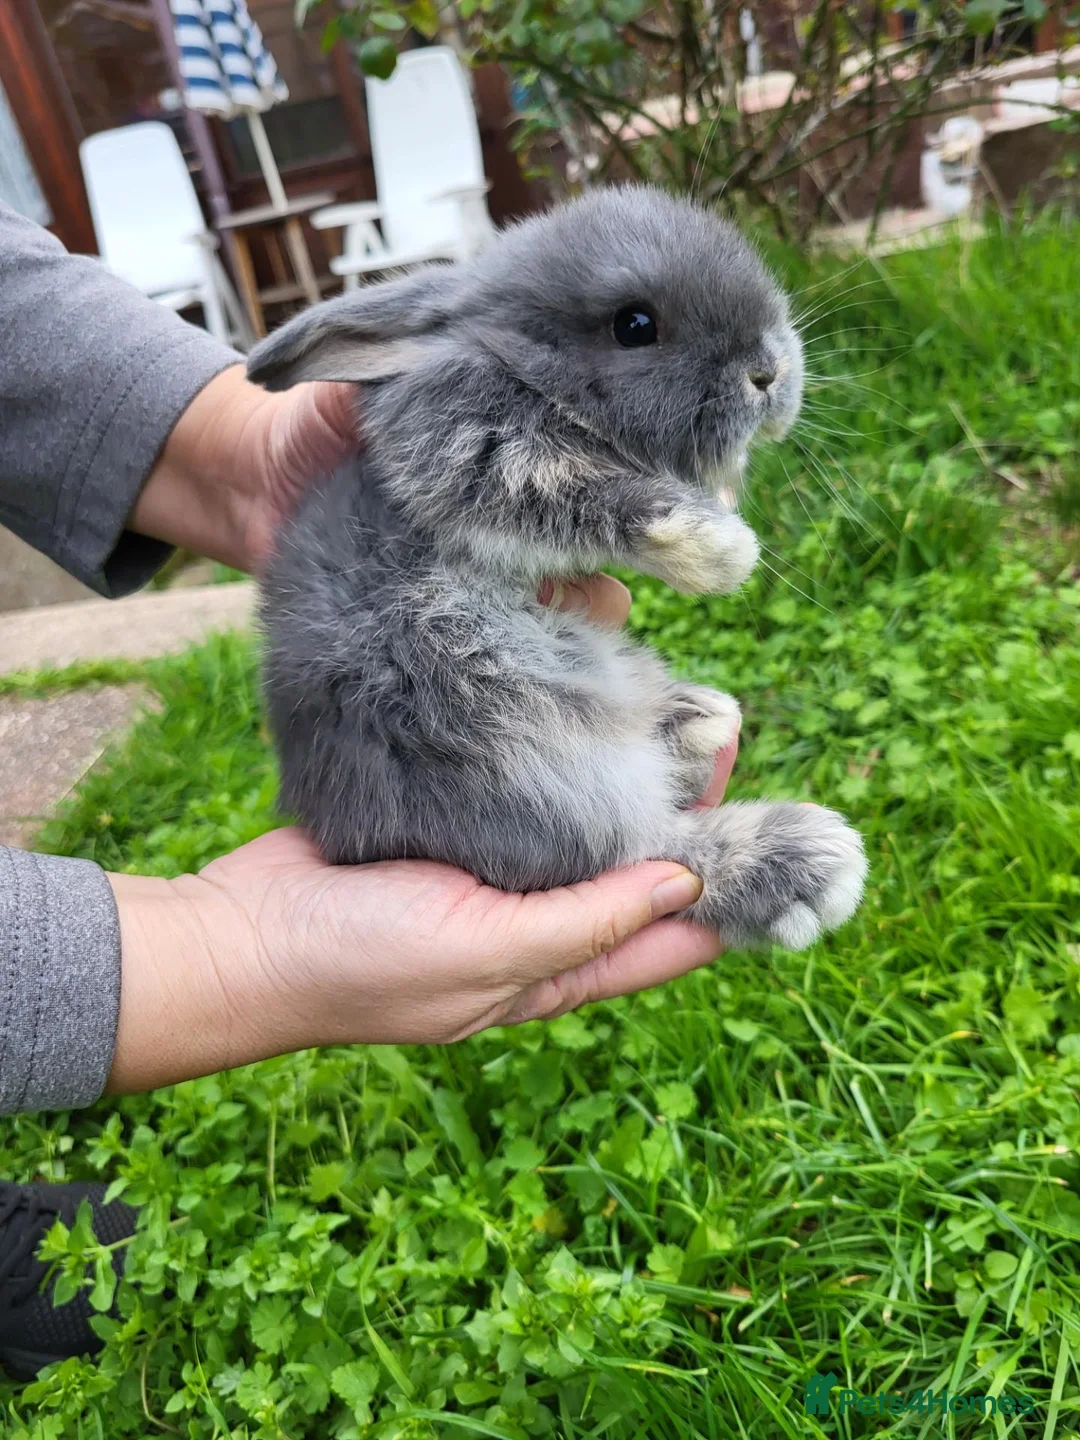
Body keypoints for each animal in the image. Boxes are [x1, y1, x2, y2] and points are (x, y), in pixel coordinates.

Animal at [246, 184, 866, 952]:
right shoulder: (475, 459)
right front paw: (723, 552)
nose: (770, 372)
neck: (525, 374)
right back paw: (807, 863)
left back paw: (698, 718)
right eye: (635, 325)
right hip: (519, 751)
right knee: (641, 846)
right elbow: (596, 493)